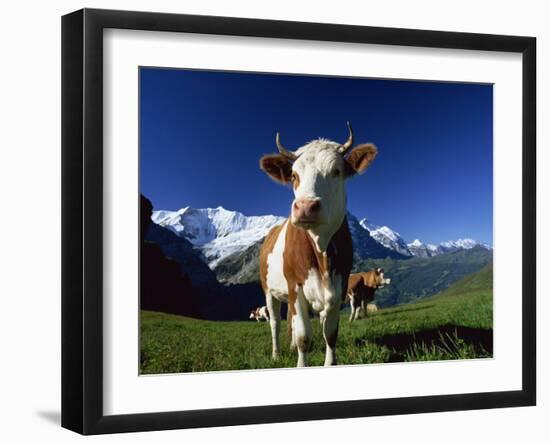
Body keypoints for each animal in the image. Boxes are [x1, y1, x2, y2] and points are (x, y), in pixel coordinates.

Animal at [258, 124, 380, 368]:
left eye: (336, 171)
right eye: (293, 175)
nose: (306, 206)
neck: (322, 251)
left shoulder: (339, 288)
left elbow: (330, 335)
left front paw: (329, 362)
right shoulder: (295, 287)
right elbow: (304, 336)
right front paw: (300, 362)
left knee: (290, 321)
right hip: (269, 291)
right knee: (275, 322)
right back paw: (276, 353)